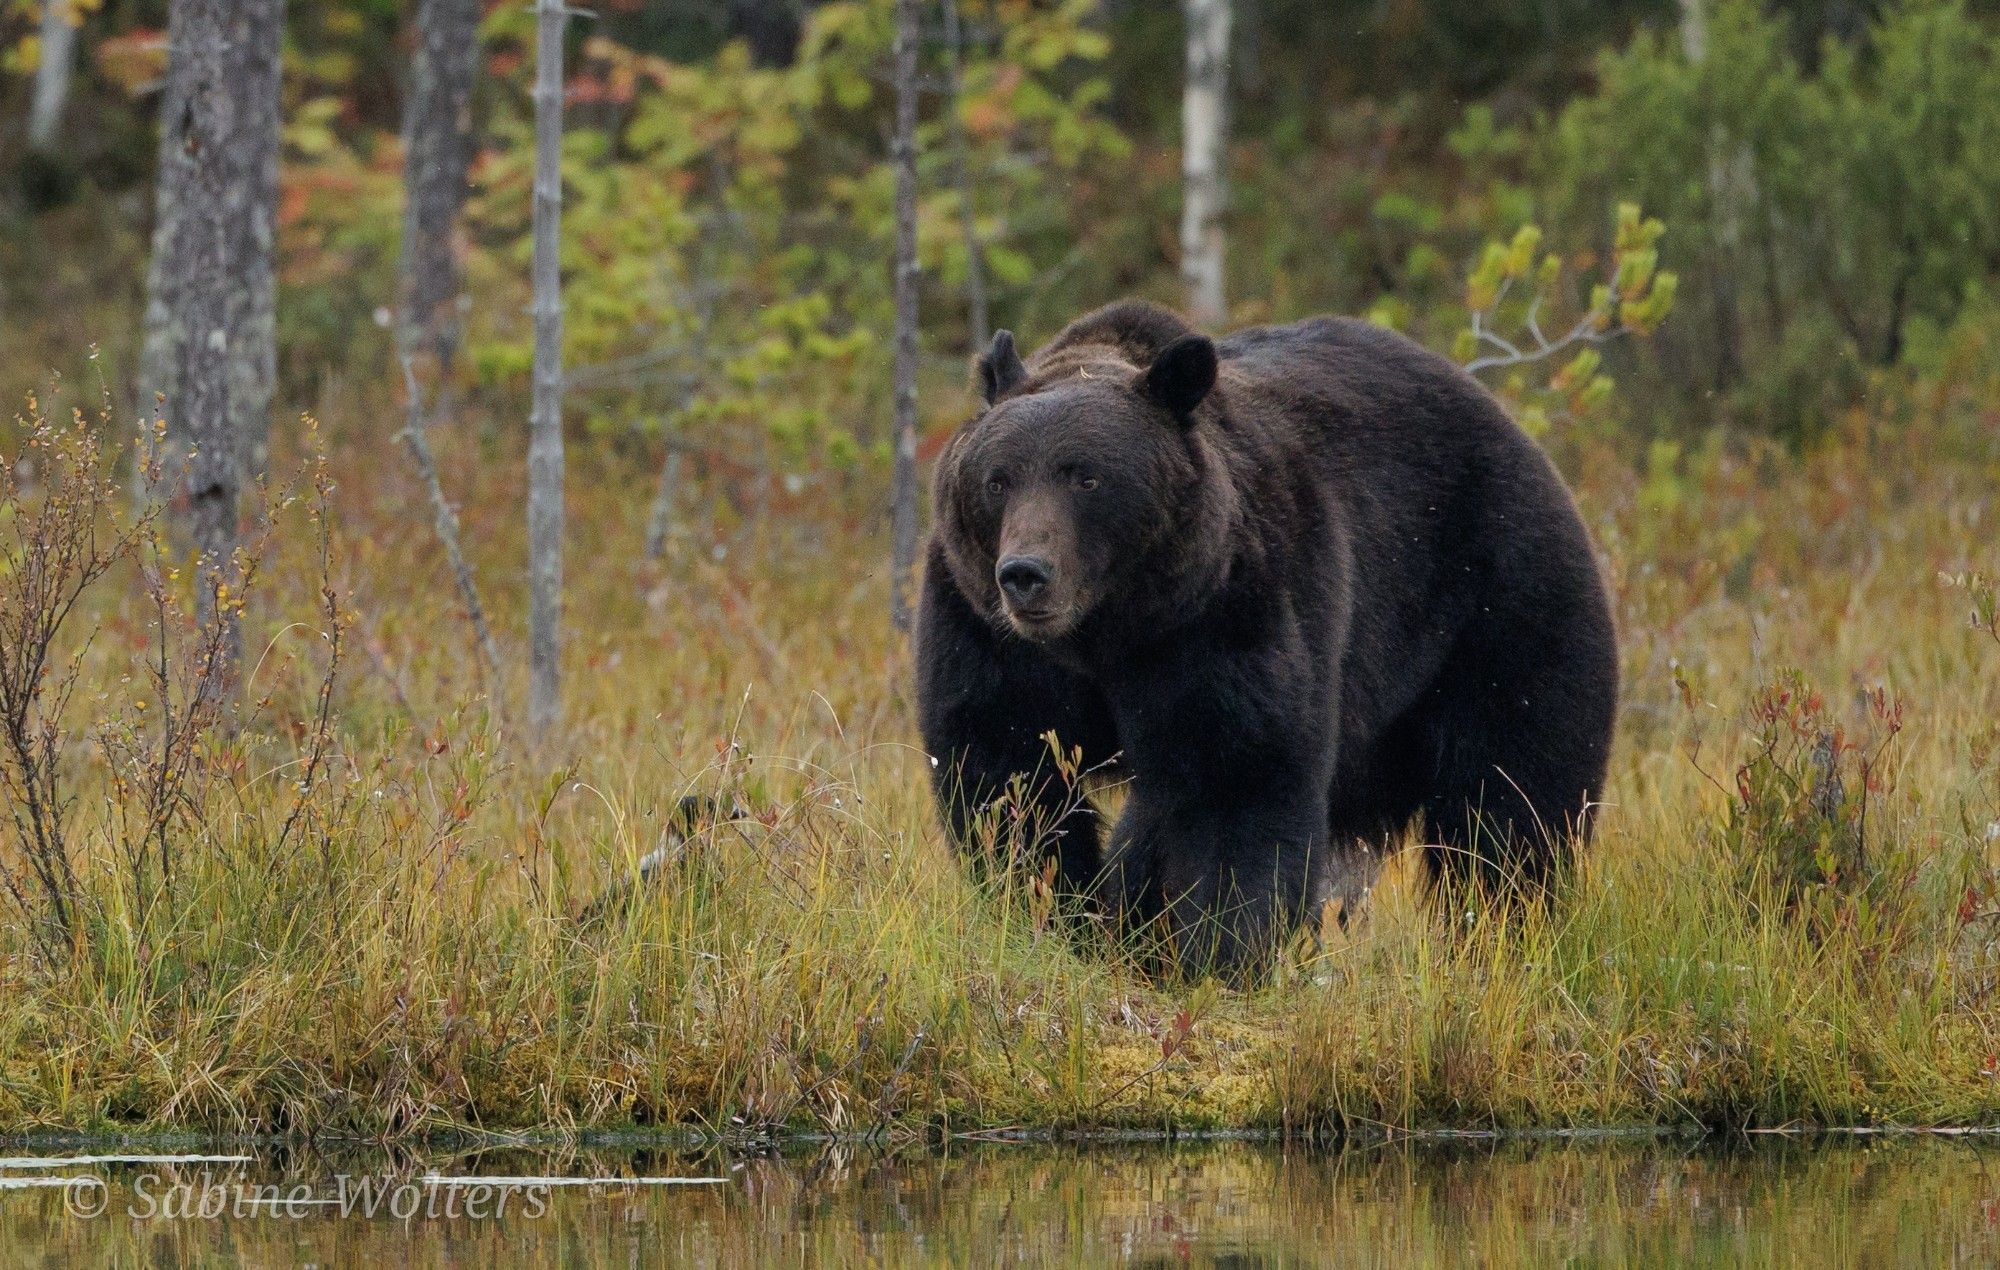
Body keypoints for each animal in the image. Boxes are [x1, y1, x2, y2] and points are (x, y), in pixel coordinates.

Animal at [916, 298, 1616, 972]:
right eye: (998, 479)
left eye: (1085, 476)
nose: (1026, 574)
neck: (1108, 632)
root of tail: (1513, 430)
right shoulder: (987, 633)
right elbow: (1008, 777)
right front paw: (1063, 918)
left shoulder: (1229, 608)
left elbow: (1232, 777)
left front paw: (1214, 954)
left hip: (1496, 603)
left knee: (1510, 797)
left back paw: (1500, 934)